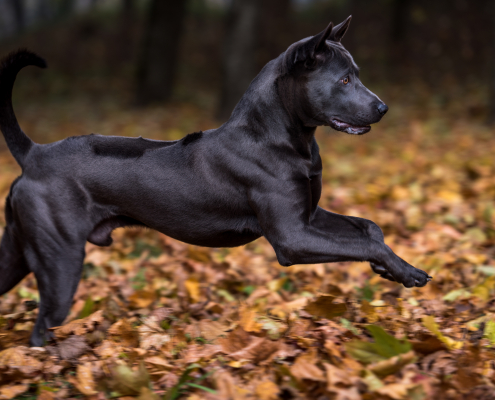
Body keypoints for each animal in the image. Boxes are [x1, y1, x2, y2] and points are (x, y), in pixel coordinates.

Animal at [0, 16, 430, 346]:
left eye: (356, 76)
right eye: (343, 81)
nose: (384, 108)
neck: (284, 136)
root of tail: (34, 154)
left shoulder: (308, 216)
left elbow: (368, 229)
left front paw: (389, 267)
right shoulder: (292, 237)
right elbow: (362, 243)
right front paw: (407, 271)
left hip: (19, 251)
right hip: (61, 260)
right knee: (42, 327)